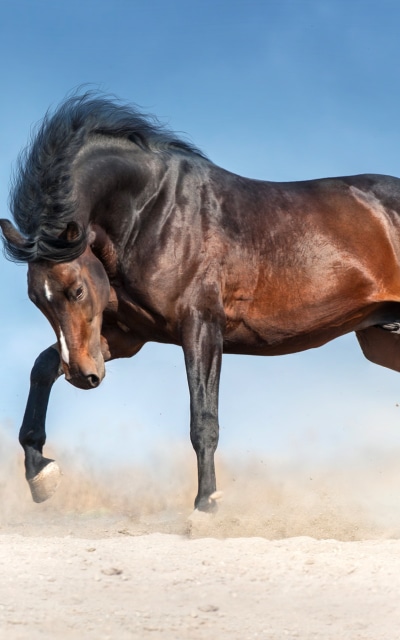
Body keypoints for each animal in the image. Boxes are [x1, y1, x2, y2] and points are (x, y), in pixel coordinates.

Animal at [2, 92, 400, 512]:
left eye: (76, 290)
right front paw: (40, 473)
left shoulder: (201, 326)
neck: (153, 212)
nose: (82, 375)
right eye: (36, 300)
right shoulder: (125, 337)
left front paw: (206, 506)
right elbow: (42, 367)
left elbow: (203, 420)